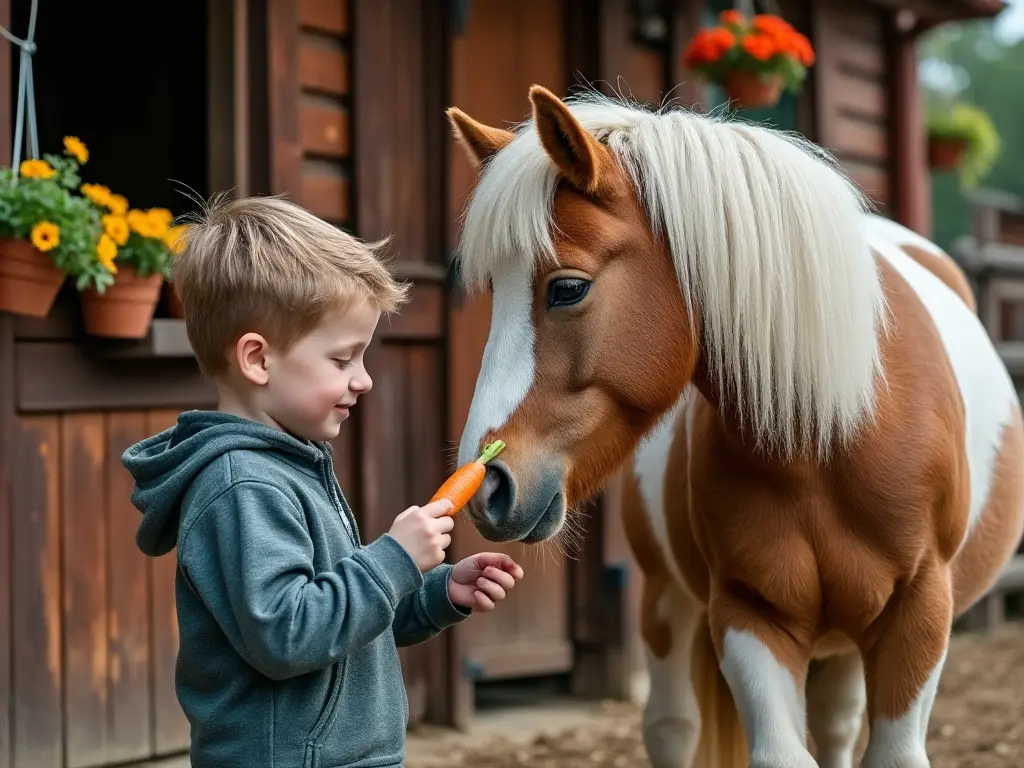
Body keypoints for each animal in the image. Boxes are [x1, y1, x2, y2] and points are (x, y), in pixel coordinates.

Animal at [446, 83, 1024, 768]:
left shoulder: (918, 614)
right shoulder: (751, 614)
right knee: (672, 724)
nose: (487, 485)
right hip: (666, 599)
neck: (827, 442)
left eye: (567, 289)